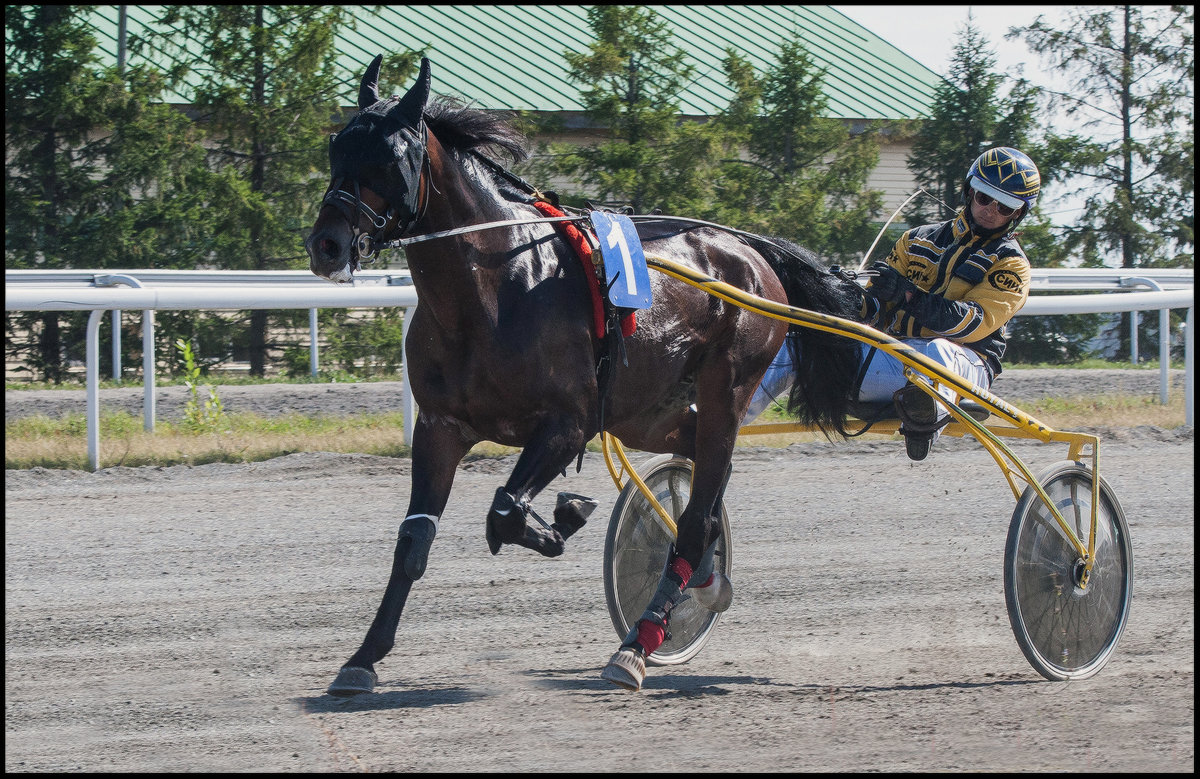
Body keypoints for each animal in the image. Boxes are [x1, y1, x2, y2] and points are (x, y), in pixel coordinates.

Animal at [300, 56, 864, 691]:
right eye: (337, 146)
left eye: (392, 155)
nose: (327, 243)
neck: (495, 289)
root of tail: (751, 250)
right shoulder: (440, 427)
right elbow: (414, 537)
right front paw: (362, 658)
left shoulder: (568, 424)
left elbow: (504, 511)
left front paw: (563, 517)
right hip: (646, 411)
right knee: (701, 470)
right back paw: (704, 574)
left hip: (728, 385)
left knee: (699, 504)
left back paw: (639, 644)